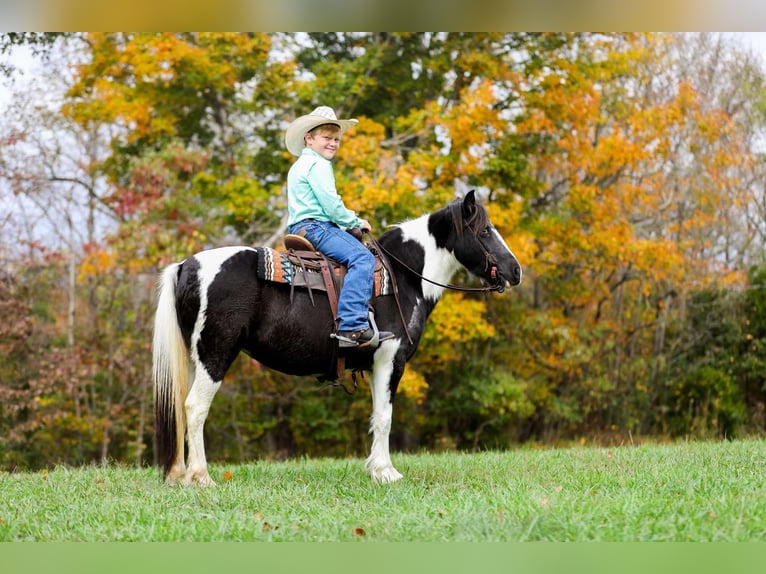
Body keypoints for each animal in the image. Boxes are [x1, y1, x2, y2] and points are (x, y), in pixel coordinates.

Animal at [152, 191, 522, 485]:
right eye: (485, 231)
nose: (516, 271)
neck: (402, 278)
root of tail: (187, 265)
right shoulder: (391, 359)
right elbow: (385, 417)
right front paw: (387, 473)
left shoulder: (375, 364)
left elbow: (376, 415)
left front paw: (376, 468)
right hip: (215, 354)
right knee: (195, 407)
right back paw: (201, 477)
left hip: (193, 357)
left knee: (181, 408)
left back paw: (179, 475)